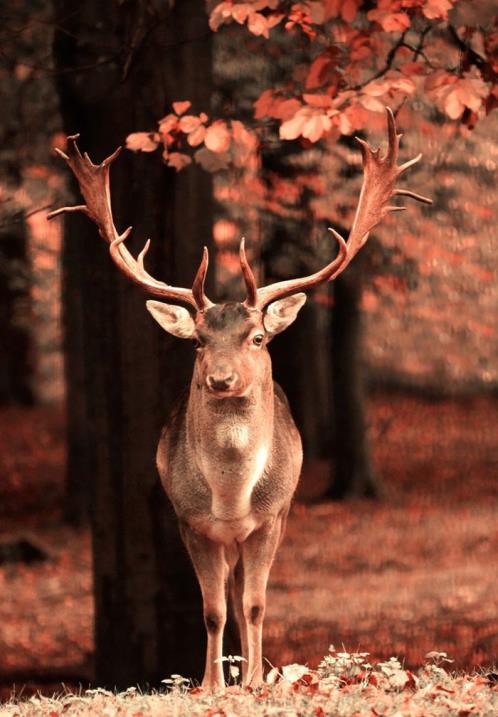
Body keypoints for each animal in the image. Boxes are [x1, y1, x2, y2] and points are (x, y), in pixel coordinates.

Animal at [49, 107, 432, 688]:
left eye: (256, 338)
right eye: (198, 341)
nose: (221, 379)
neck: (231, 498)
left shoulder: (272, 518)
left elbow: (255, 604)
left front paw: (252, 682)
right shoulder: (190, 521)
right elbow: (213, 609)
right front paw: (212, 684)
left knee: (246, 596)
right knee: (226, 594)